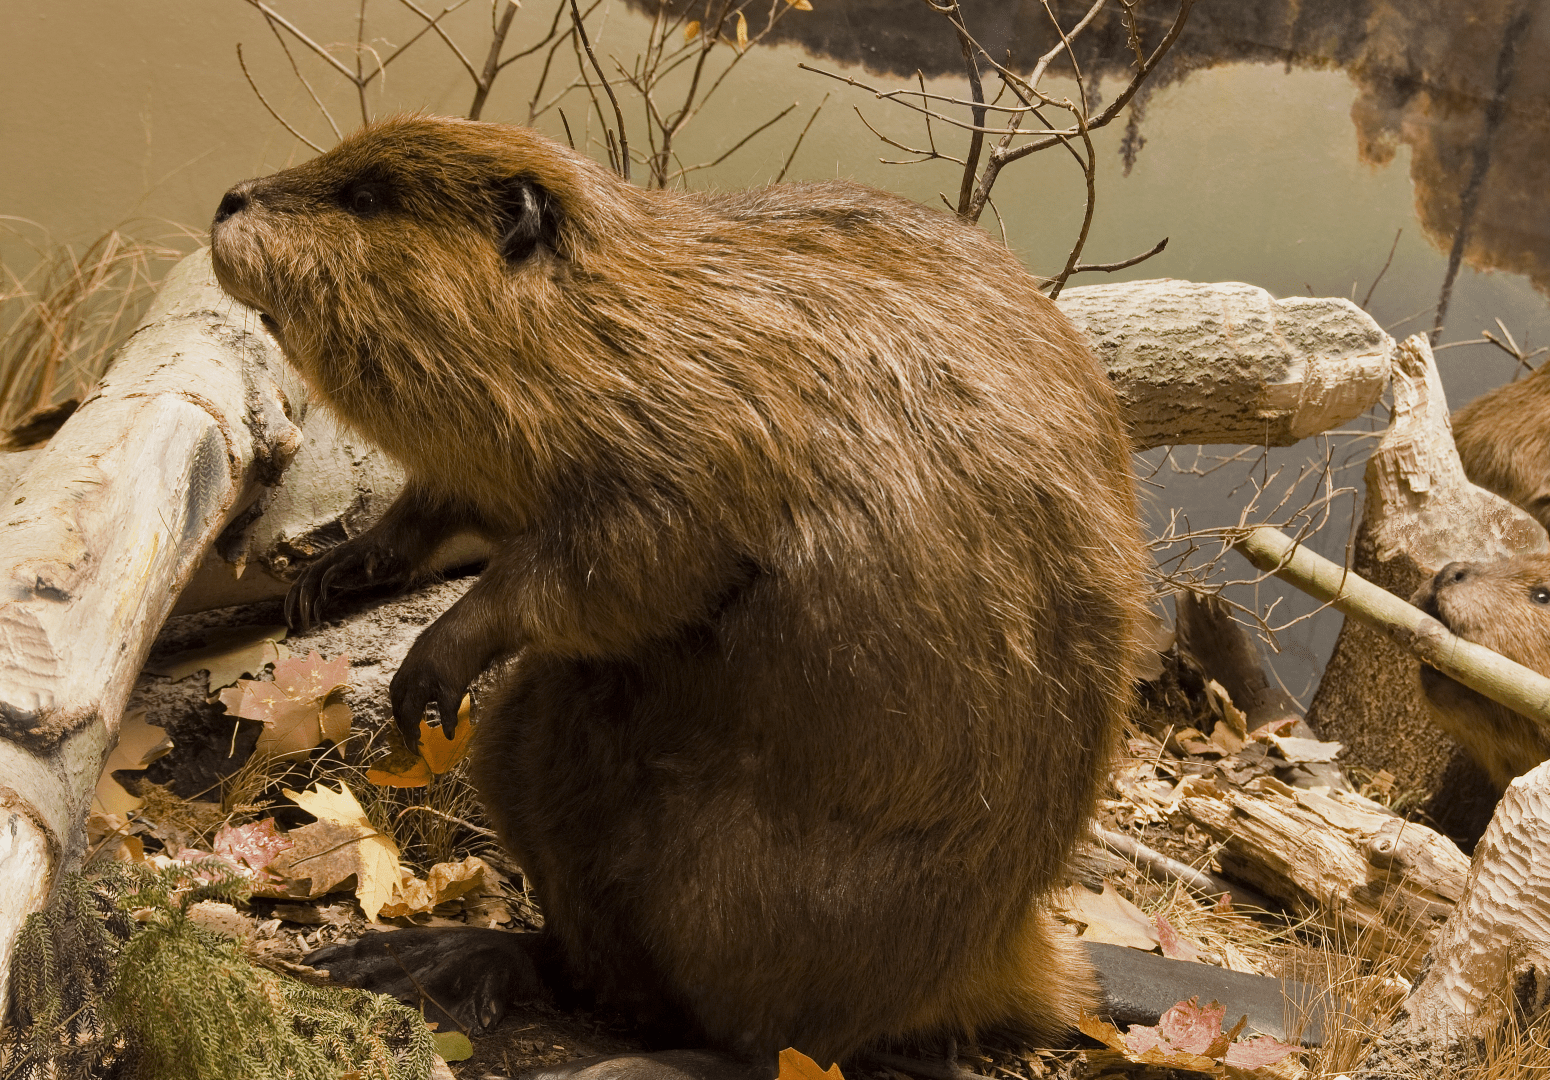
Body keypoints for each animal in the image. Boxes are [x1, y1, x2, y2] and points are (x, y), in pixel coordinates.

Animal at [209, 113, 1153, 1072]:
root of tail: (1036, 966)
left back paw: (626, 1058)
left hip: (753, 891)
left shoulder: (705, 430)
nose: (228, 199)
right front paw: (328, 574)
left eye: (366, 196)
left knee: (780, 1041)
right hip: (524, 758)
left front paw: (428, 669)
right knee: (586, 955)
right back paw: (428, 957)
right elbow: (440, 508)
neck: (628, 316)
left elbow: (632, 558)